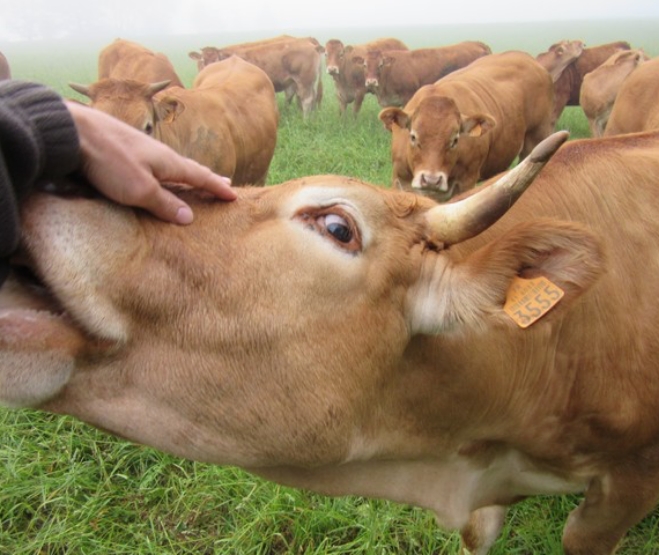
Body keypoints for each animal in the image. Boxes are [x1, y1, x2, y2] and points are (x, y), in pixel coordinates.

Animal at [189, 35, 324, 117]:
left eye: (217, 60)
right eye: (202, 60)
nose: (207, 71)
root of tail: (311, 44)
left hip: (304, 80)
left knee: (307, 100)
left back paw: (305, 120)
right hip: (305, 82)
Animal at [364, 40, 492, 108]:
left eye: (380, 65)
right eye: (365, 65)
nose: (371, 81)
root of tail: (476, 43)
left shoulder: (408, 98)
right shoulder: (389, 103)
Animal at [376, 50, 556, 202]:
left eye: (455, 140)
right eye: (413, 137)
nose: (431, 180)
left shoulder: (466, 182)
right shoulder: (400, 181)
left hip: (536, 139)